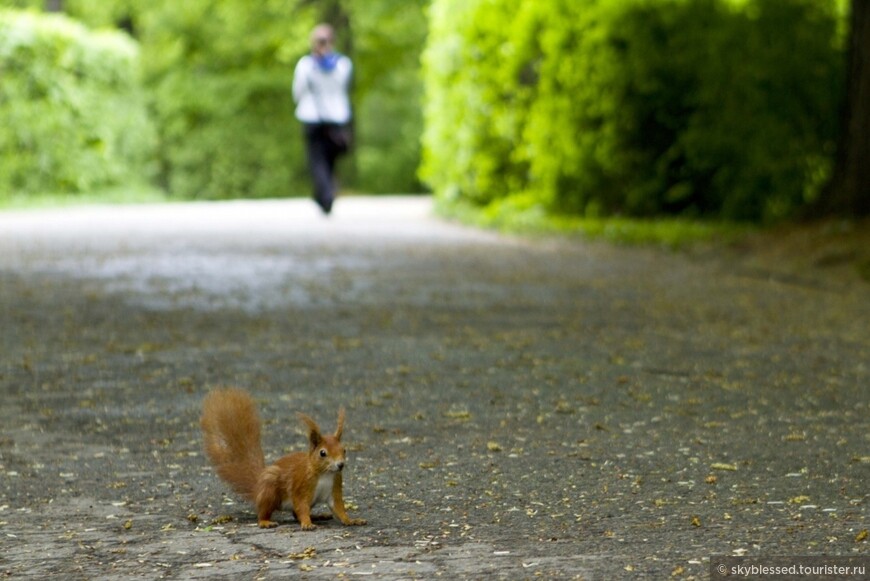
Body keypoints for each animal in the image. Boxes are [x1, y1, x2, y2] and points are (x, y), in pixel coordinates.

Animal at [203, 388, 366, 528]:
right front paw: (307, 523)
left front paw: (351, 520)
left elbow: (338, 507)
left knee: (294, 514)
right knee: (265, 512)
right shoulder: (301, 485)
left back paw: (318, 516)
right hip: (269, 489)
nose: (340, 465)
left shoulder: (335, 485)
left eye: (344, 450)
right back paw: (266, 522)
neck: (325, 474)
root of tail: (257, 489)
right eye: (322, 453)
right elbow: (301, 506)